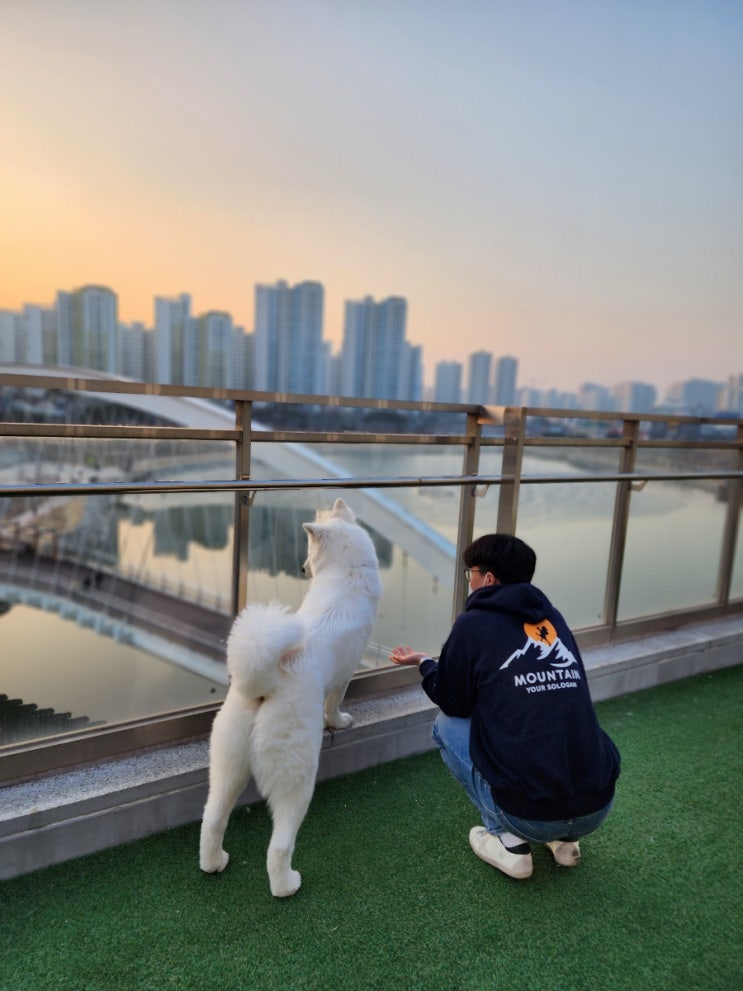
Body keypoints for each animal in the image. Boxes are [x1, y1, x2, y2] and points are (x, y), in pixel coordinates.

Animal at [199, 500, 380, 896]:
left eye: (307, 551)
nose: (300, 569)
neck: (348, 572)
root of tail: (264, 683)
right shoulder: (345, 674)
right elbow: (335, 703)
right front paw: (340, 722)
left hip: (227, 766)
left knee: (212, 821)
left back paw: (214, 863)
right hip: (296, 778)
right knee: (279, 846)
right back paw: (286, 885)